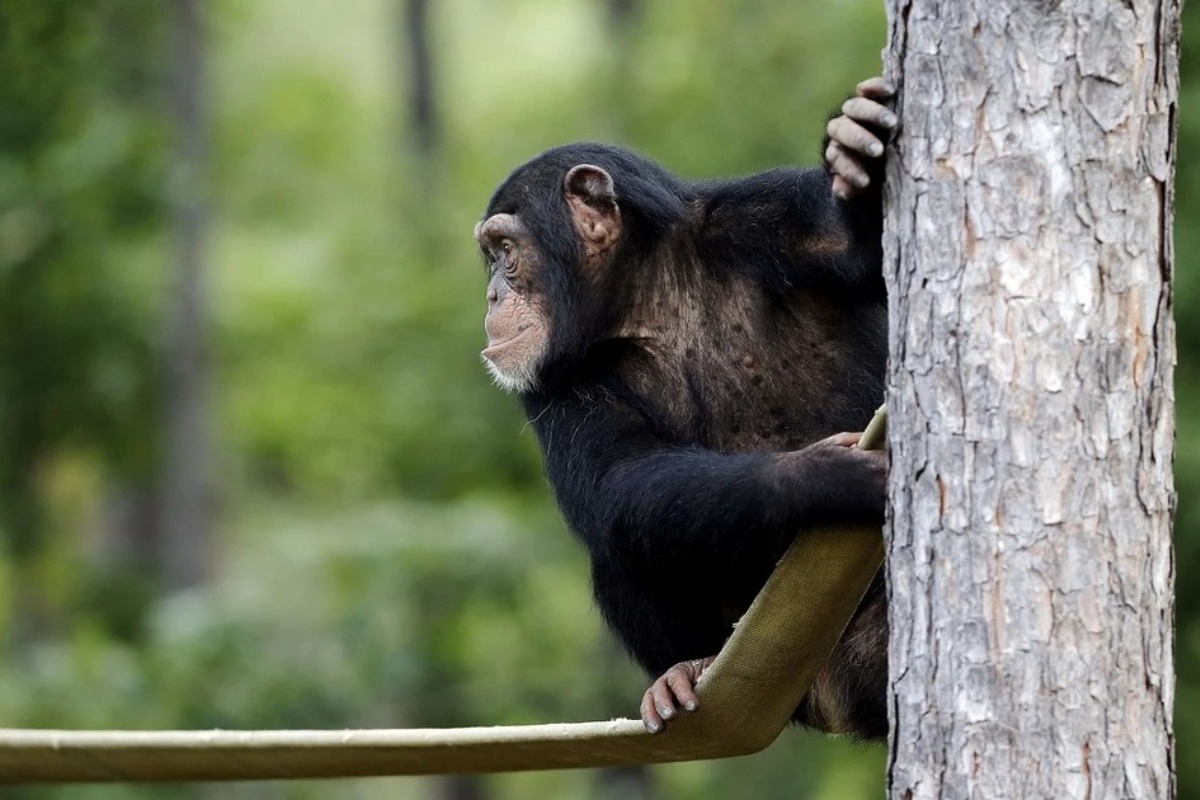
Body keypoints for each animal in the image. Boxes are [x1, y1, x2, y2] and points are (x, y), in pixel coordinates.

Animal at [477, 77, 902, 743]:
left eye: (505, 249)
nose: (492, 292)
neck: (645, 298)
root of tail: (831, 699)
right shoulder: (551, 382)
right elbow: (617, 477)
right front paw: (822, 477)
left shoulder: (768, 218)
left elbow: (860, 253)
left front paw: (859, 151)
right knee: (620, 539)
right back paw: (685, 670)